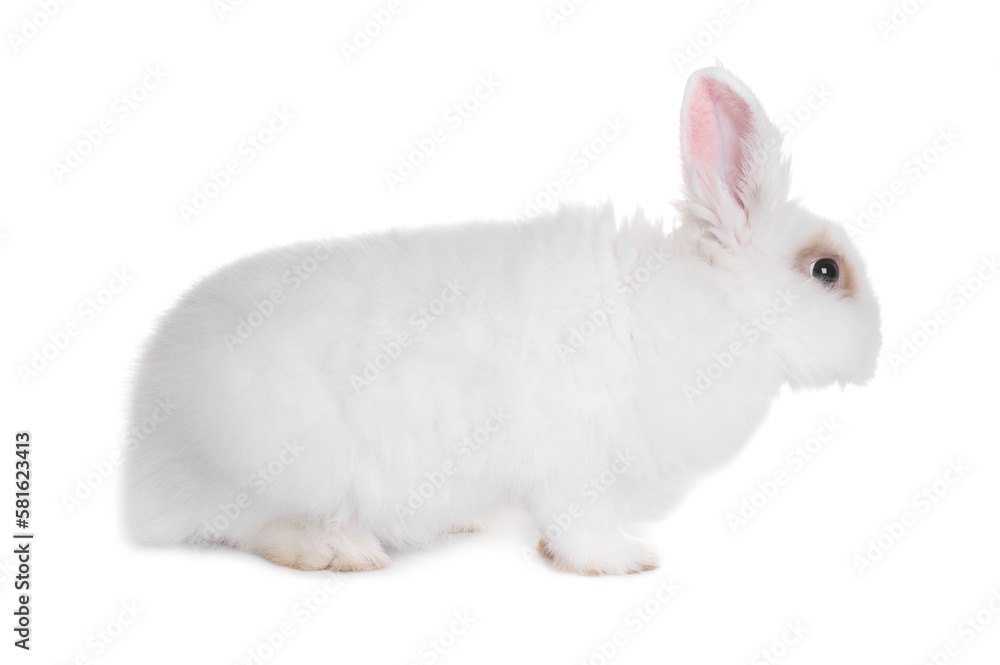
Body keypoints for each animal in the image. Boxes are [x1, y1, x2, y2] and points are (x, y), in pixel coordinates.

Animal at [123, 66, 881, 576]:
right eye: (827, 271)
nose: (875, 351)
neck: (719, 308)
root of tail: (146, 465)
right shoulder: (576, 466)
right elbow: (580, 528)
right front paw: (624, 560)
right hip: (287, 462)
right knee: (255, 528)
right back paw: (344, 549)